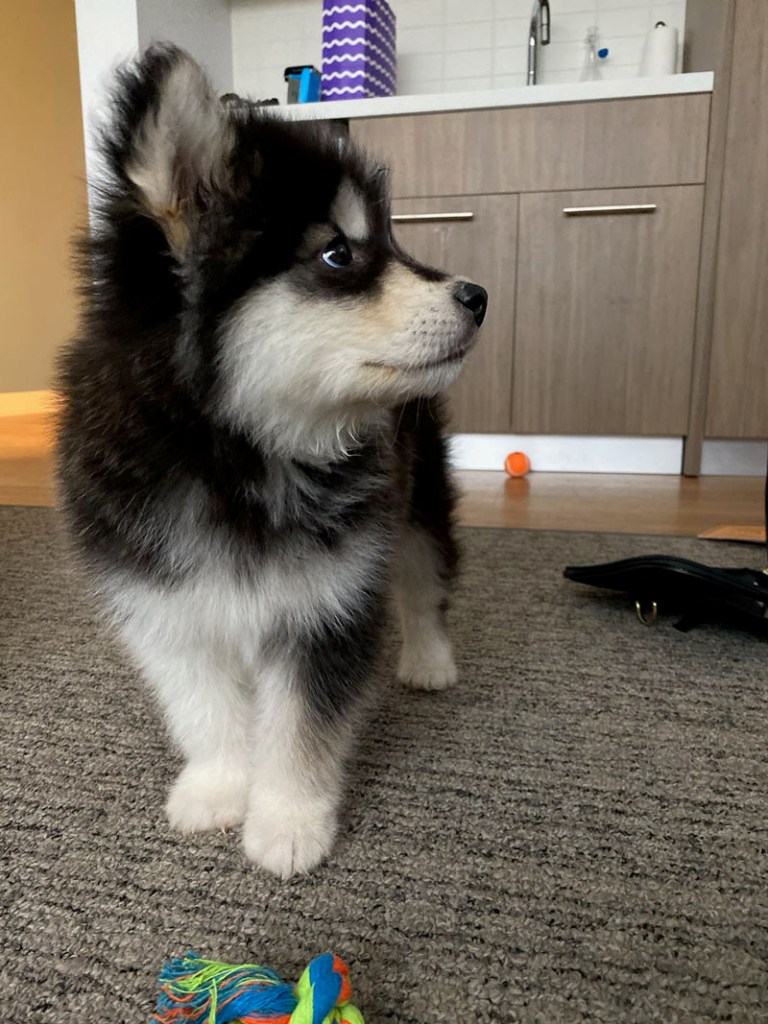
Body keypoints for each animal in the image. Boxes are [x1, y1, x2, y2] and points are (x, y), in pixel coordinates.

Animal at [56, 45, 488, 877]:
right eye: (338, 253)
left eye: (392, 245)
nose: (478, 294)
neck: (239, 452)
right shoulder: (166, 602)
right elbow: (206, 709)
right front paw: (221, 787)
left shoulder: (328, 598)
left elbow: (299, 725)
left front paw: (287, 821)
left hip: (417, 493)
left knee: (425, 578)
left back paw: (427, 658)